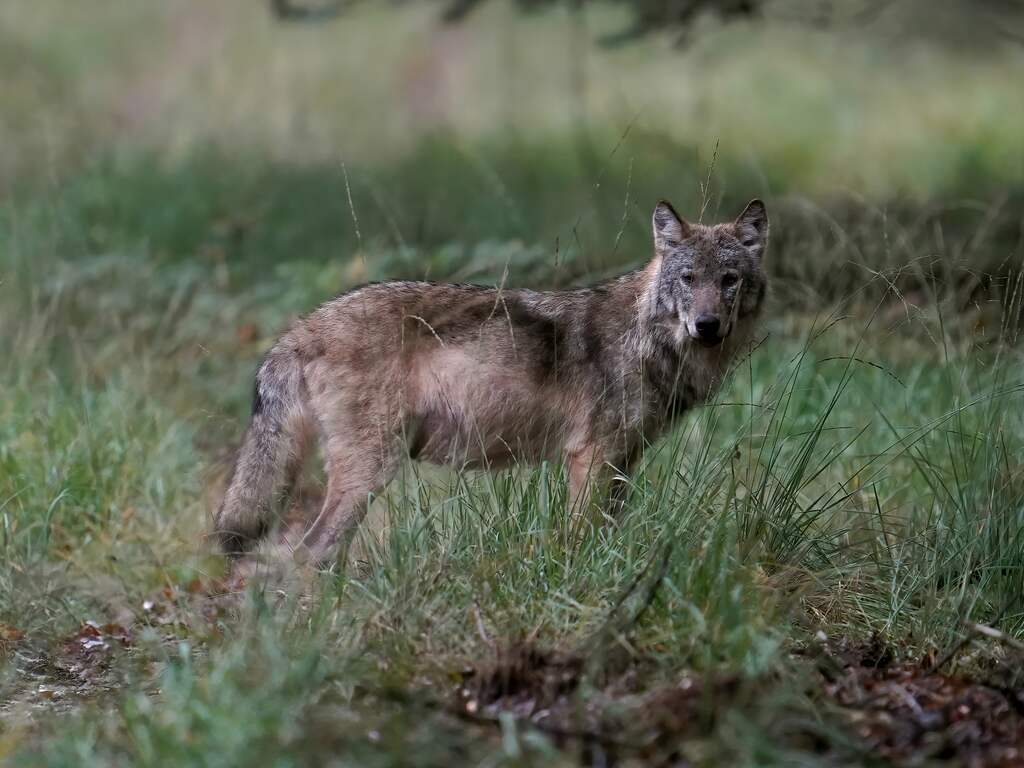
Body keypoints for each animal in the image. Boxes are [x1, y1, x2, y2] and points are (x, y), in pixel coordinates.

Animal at [215, 198, 769, 570]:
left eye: (729, 280)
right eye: (689, 279)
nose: (707, 326)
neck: (647, 339)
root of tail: (302, 327)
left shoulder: (623, 462)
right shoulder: (590, 457)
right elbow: (580, 538)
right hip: (370, 472)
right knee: (310, 553)